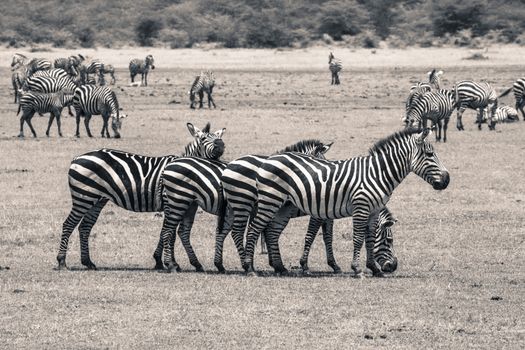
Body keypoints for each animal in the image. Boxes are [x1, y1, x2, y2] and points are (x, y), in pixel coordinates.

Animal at [56, 121, 226, 270]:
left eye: (218, 137)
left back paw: (88, 262)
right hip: (83, 196)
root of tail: (77, 158)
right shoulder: (169, 202)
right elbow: (168, 233)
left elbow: (166, 233)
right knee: (69, 224)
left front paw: (161, 261)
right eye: (203, 138)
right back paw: (62, 262)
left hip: (97, 199)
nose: (221, 145)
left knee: (85, 227)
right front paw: (168, 262)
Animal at [244, 127, 448, 278]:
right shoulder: (360, 207)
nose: (447, 180)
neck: (377, 173)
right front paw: (357, 269)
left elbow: (368, 239)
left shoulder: (373, 211)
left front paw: (373, 269)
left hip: (283, 206)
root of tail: (270, 158)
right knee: (254, 229)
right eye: (430, 154)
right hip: (270, 201)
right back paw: (249, 268)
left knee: (272, 232)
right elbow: (357, 238)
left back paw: (280, 267)